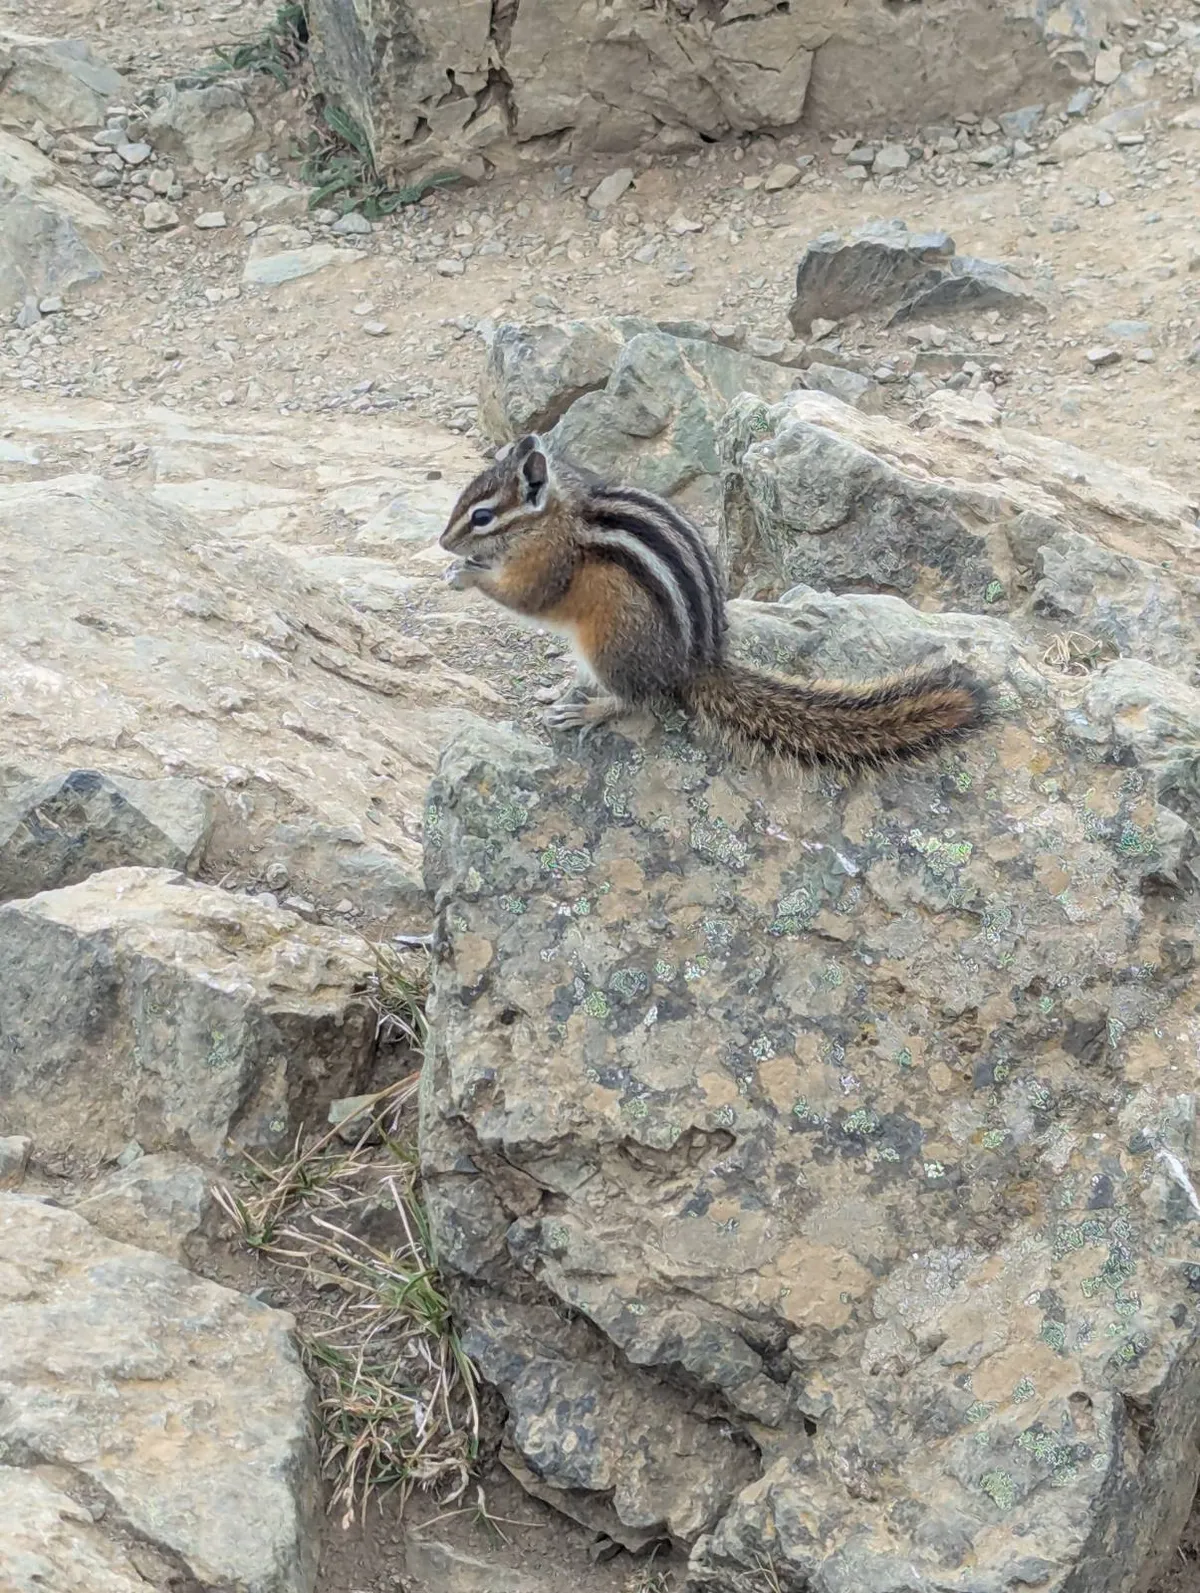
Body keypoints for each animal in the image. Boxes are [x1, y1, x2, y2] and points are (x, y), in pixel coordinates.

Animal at [439, 433, 989, 773]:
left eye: (482, 516)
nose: (443, 543)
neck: (555, 518)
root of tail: (696, 664)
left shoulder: (549, 567)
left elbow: (525, 598)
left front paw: (467, 574)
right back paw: (561, 689)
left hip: (609, 644)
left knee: (636, 700)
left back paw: (587, 710)